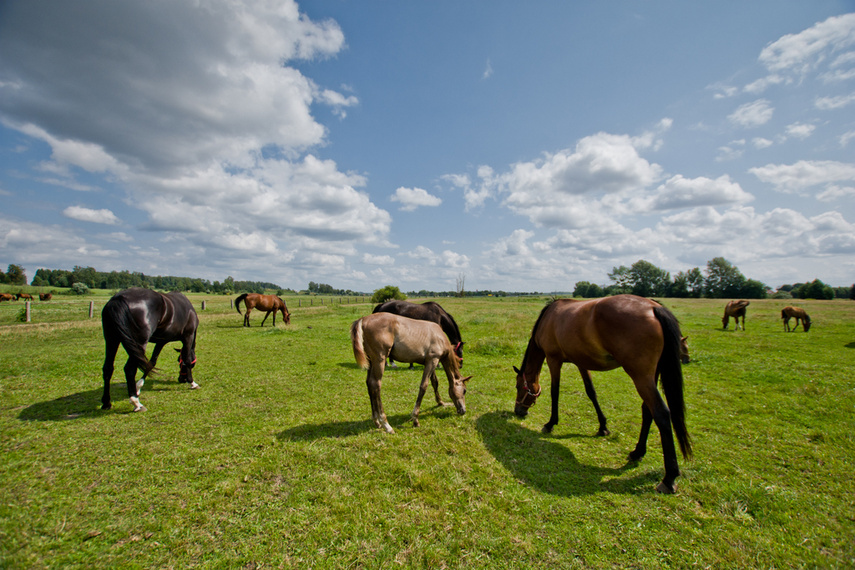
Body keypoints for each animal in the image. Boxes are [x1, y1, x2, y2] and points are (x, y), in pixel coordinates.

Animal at [512, 296, 692, 490]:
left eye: (518, 386)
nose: (518, 411)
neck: (549, 318)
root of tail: (653, 307)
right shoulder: (580, 361)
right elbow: (591, 392)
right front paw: (603, 426)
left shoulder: (554, 360)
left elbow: (555, 392)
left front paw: (551, 423)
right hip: (651, 376)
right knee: (647, 410)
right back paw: (637, 452)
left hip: (641, 377)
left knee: (661, 413)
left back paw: (669, 477)